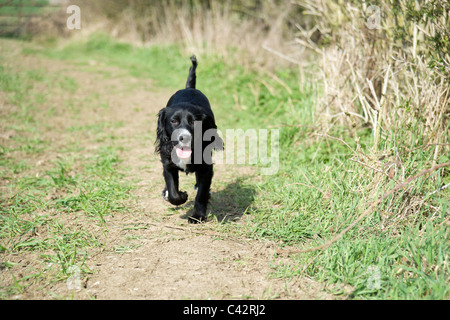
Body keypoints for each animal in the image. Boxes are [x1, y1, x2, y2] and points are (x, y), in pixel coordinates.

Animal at [155, 55, 221, 224]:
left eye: (194, 122)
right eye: (173, 121)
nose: (183, 137)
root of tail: (189, 88)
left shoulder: (206, 167)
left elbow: (201, 193)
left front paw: (197, 216)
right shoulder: (168, 164)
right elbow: (173, 192)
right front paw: (181, 196)